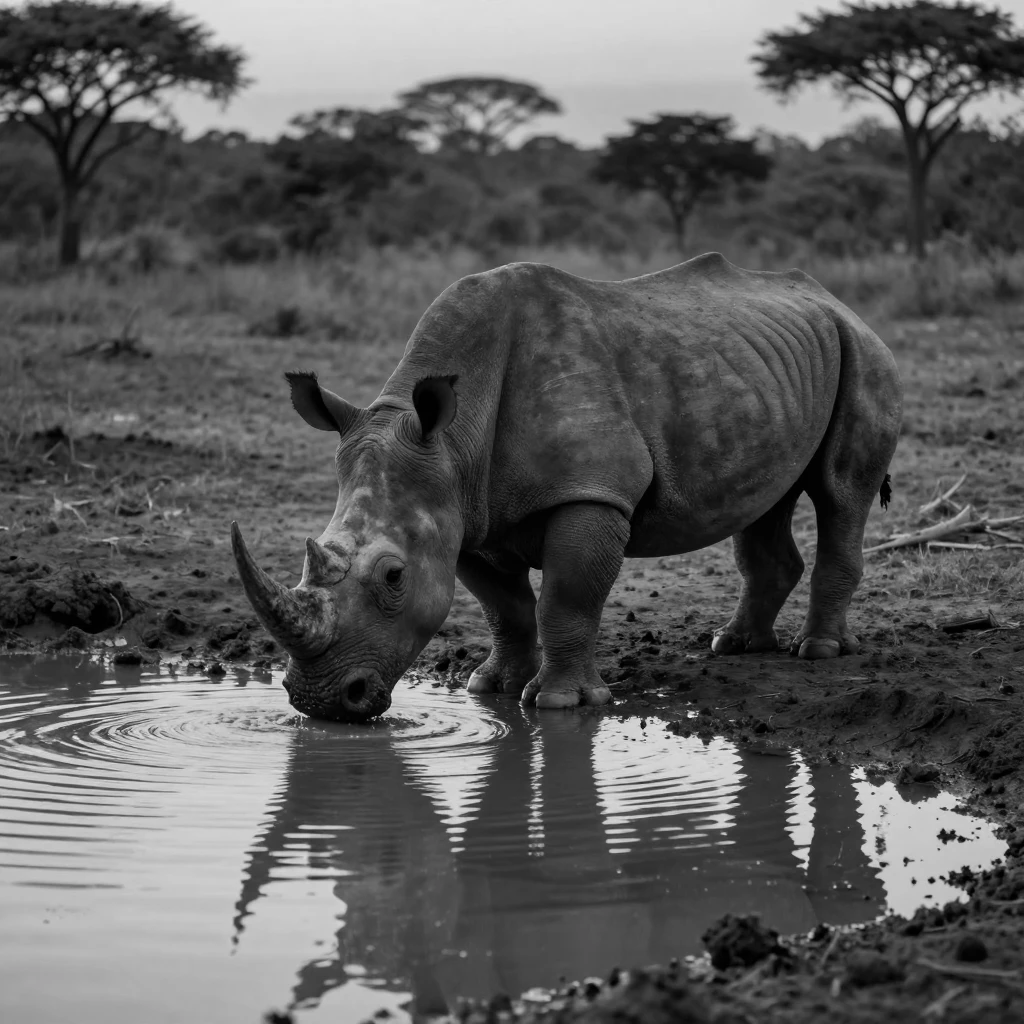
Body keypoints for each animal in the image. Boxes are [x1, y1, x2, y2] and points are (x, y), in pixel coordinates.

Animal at [232, 253, 902, 722]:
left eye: (394, 577)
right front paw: (493, 687)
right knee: (765, 503)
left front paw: (560, 704)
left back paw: (818, 652)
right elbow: (503, 605)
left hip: (865, 352)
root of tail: (834, 298)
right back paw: (734, 646)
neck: (451, 445)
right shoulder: (468, 512)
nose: (319, 701)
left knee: (841, 493)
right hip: (773, 369)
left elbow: (568, 596)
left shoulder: (592, 492)